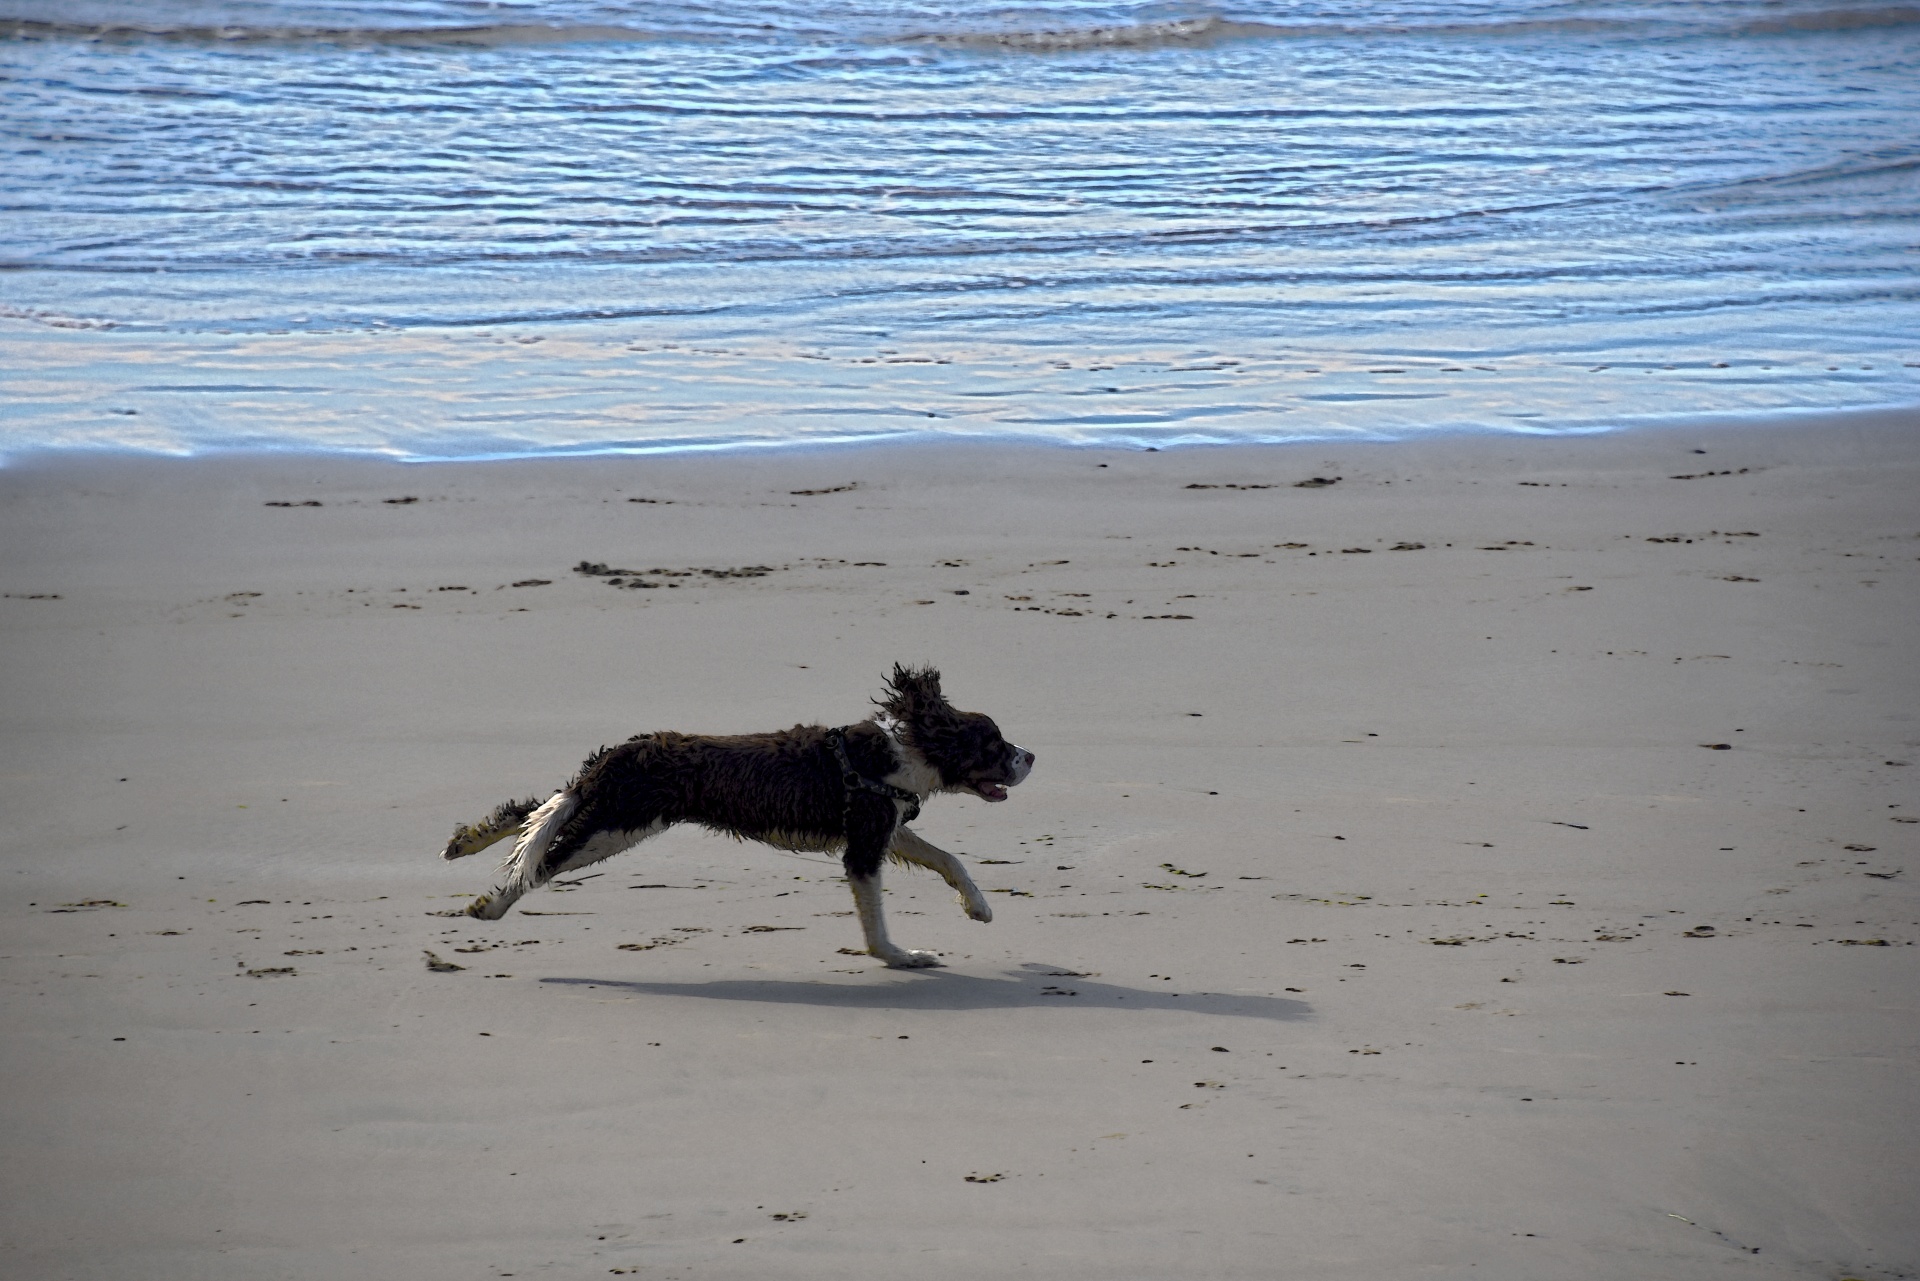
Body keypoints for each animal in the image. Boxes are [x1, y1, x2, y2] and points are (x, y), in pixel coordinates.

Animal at [439, 668, 1036, 967]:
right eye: (994, 744)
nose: (1031, 756)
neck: (901, 752)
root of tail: (623, 753)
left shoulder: (884, 826)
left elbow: (950, 859)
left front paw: (979, 909)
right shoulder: (865, 843)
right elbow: (877, 922)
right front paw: (902, 956)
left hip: (606, 809)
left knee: (535, 813)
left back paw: (463, 845)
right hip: (615, 825)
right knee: (542, 859)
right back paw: (490, 906)